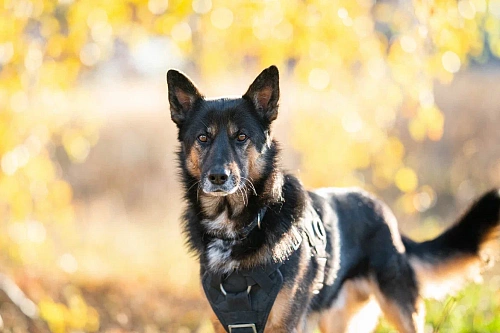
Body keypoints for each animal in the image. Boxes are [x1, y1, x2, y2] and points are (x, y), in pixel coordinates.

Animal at [165, 65, 500, 332]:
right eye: (203, 138)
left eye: (241, 137)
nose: (218, 177)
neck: (243, 226)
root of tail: (384, 213)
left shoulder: (285, 325)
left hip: (400, 311)